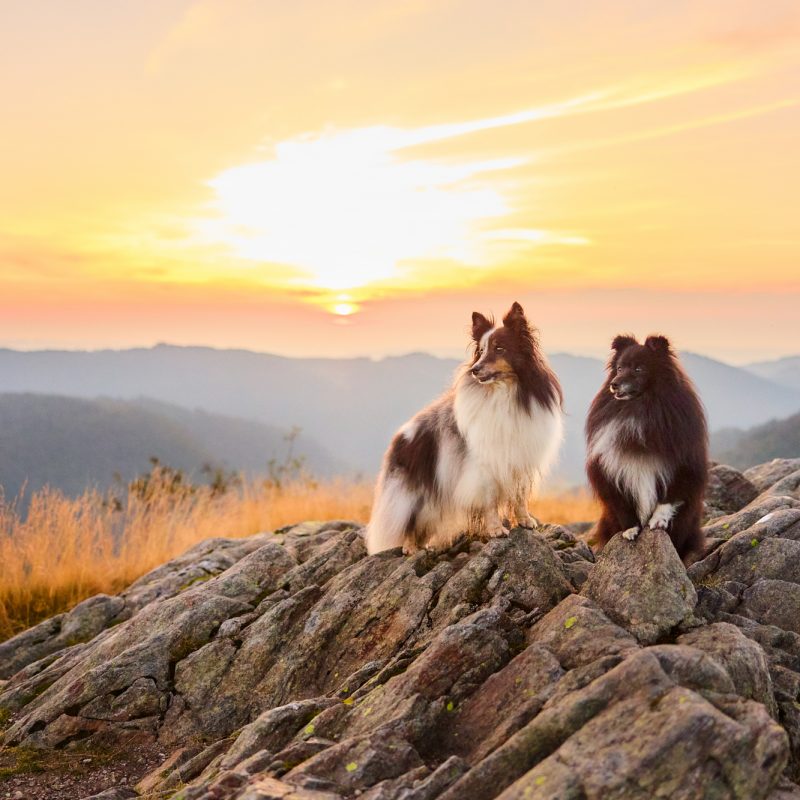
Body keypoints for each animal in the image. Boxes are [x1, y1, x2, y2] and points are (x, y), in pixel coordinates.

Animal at [368, 302, 564, 556]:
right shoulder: (483, 467)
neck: (504, 393)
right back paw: (410, 547)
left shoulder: (520, 459)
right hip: (413, 491)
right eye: (480, 351)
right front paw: (496, 530)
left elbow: (519, 496)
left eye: (500, 349)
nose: (475, 370)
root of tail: (400, 437)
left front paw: (525, 521)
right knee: (409, 519)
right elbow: (489, 500)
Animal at [584, 334, 708, 560]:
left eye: (639, 369)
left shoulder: (682, 464)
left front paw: (658, 521)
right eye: (619, 368)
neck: (641, 408)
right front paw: (630, 529)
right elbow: (622, 504)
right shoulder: (610, 469)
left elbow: (670, 496)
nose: (614, 384)